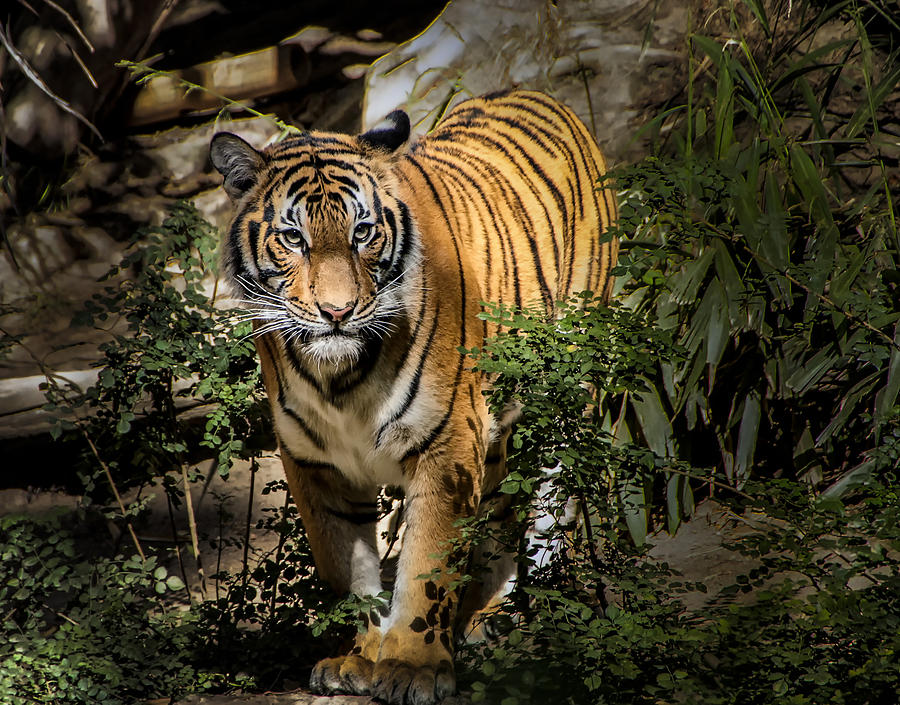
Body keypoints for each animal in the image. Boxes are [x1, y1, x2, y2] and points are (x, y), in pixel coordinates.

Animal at [211, 89, 620, 704]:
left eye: (361, 233)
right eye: (293, 239)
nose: (336, 312)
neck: (339, 378)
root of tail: (545, 95)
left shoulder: (445, 448)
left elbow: (427, 567)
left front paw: (412, 668)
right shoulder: (315, 466)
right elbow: (346, 571)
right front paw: (358, 657)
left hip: (568, 394)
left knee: (551, 506)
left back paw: (511, 614)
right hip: (493, 436)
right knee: (502, 508)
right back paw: (481, 614)